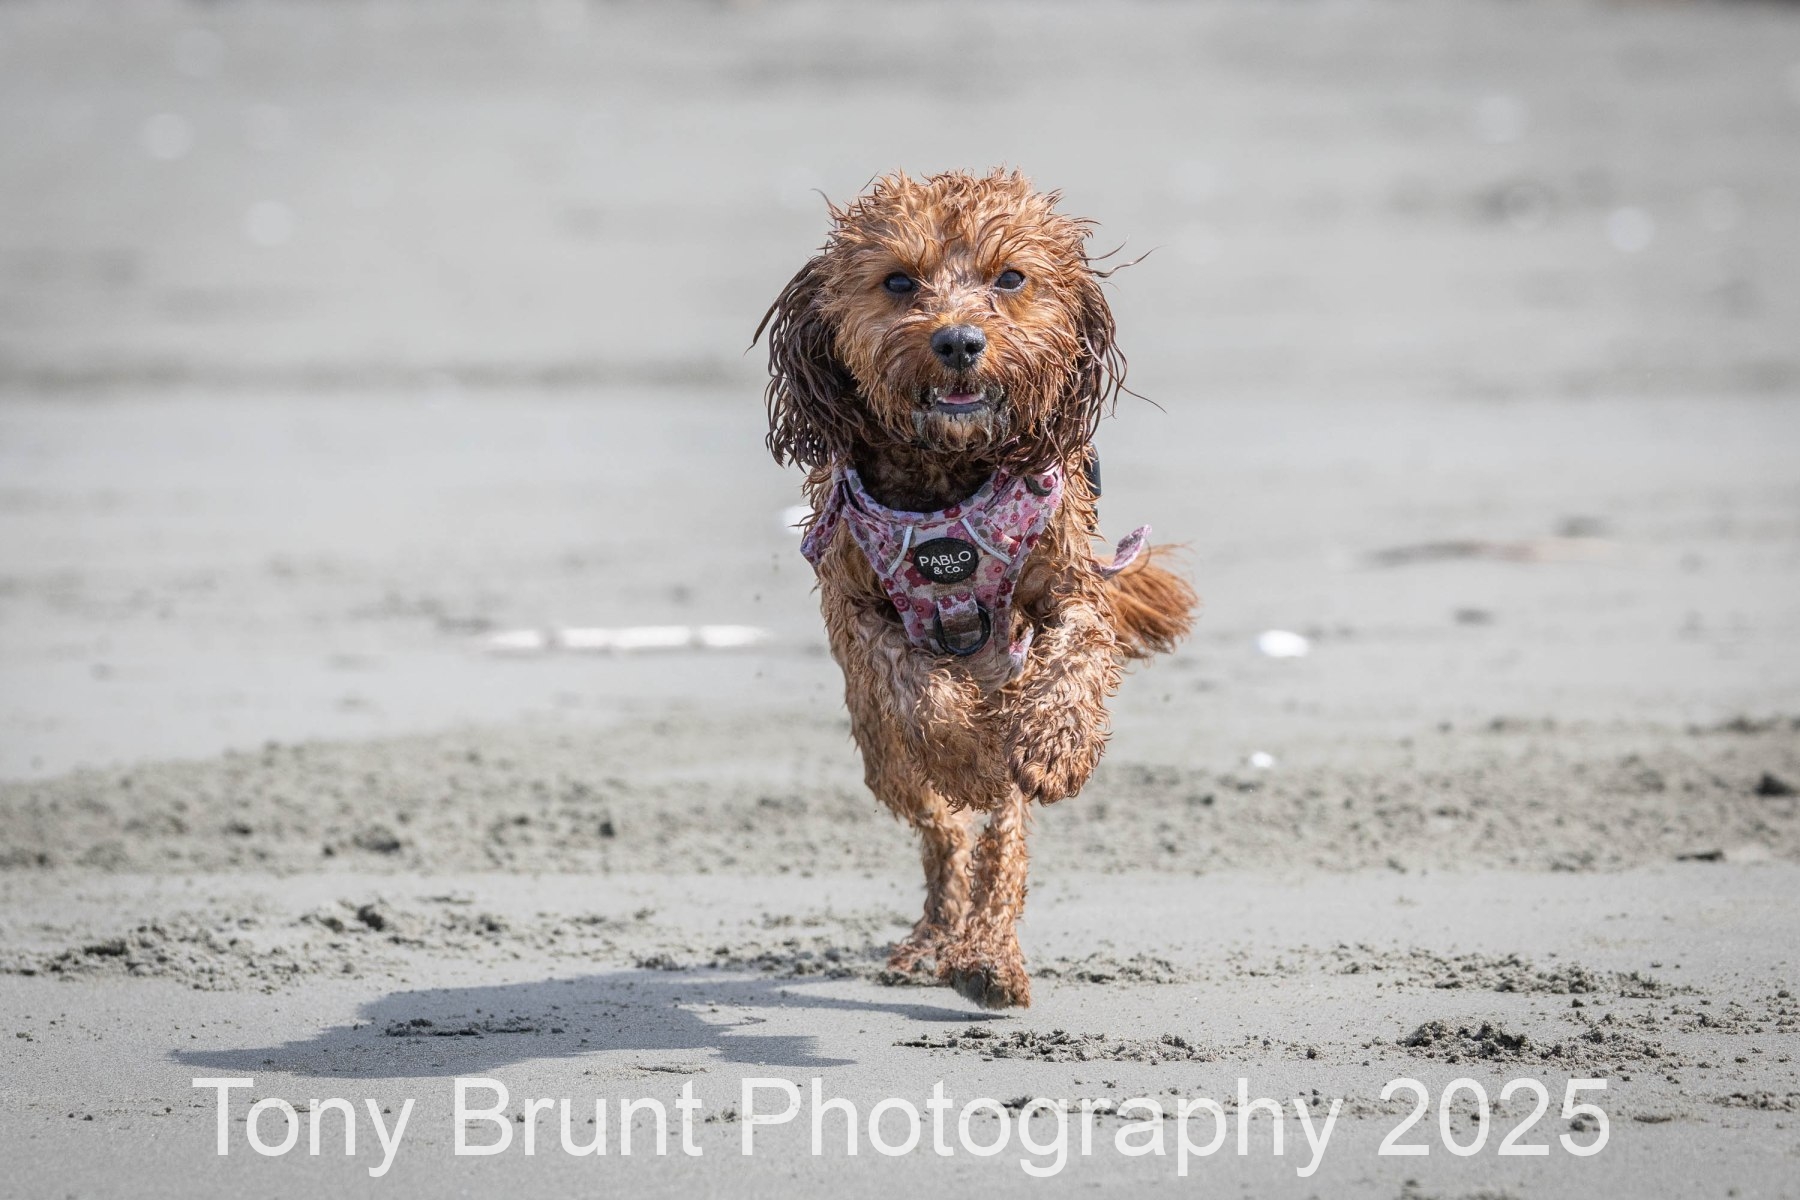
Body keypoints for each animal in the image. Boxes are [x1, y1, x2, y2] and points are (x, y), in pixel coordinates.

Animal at [757, 168, 1196, 1009]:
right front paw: (964, 751)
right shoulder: (858, 610)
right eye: (899, 281)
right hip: (884, 761)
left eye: (1011, 278)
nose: (958, 341)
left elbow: (1078, 652)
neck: (946, 480)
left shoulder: (1067, 583)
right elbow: (917, 692)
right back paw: (939, 938)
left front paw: (1056, 745)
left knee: (1005, 835)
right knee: (945, 831)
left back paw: (988, 956)